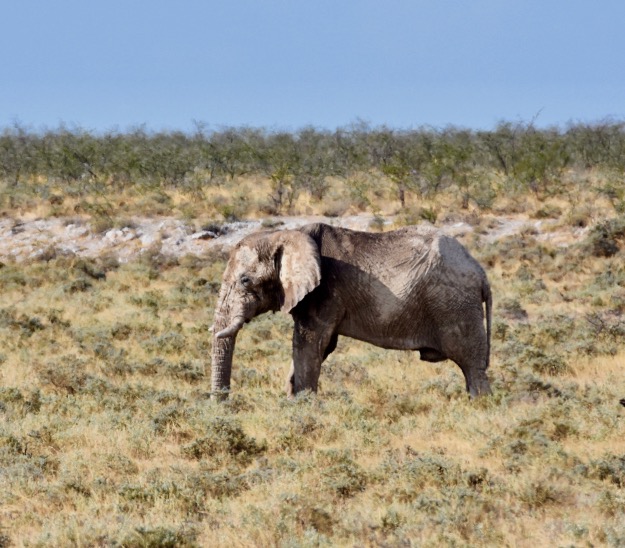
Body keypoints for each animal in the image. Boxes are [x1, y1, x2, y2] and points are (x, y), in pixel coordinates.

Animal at [211, 222, 492, 398]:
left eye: (245, 280)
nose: (224, 404)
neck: (285, 234)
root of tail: (480, 272)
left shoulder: (323, 293)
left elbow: (309, 344)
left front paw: (303, 407)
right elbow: (323, 346)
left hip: (456, 306)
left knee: (473, 368)